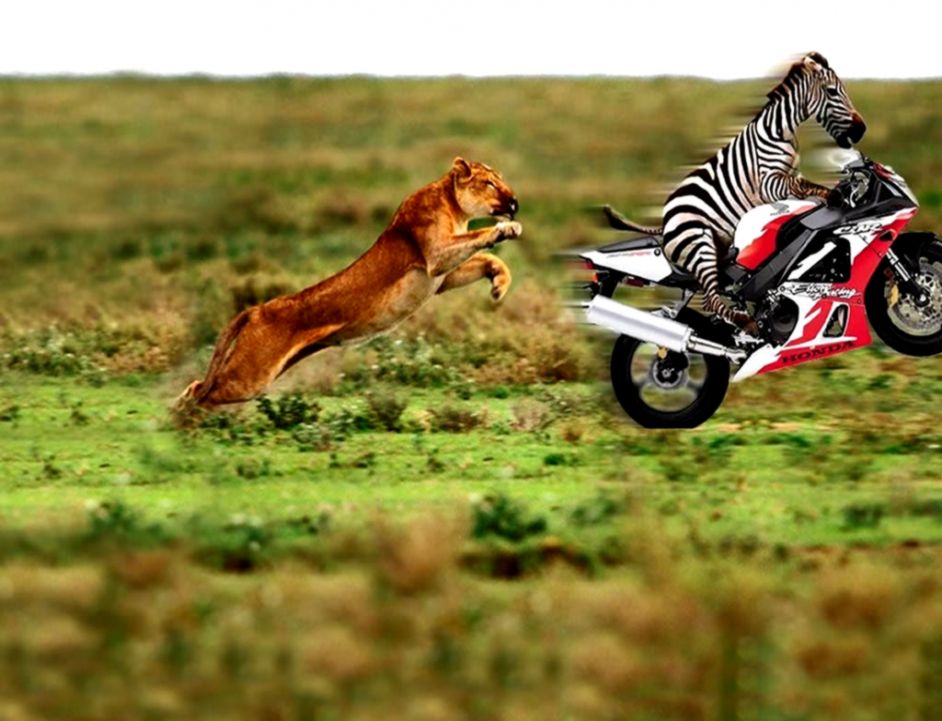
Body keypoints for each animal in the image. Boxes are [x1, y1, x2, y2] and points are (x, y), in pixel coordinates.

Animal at [605, 52, 867, 331]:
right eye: (832, 91)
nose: (861, 130)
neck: (780, 132)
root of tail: (665, 222)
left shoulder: (786, 178)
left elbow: (801, 188)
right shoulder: (769, 182)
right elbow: (803, 186)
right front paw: (834, 196)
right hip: (700, 241)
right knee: (712, 298)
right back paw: (746, 323)